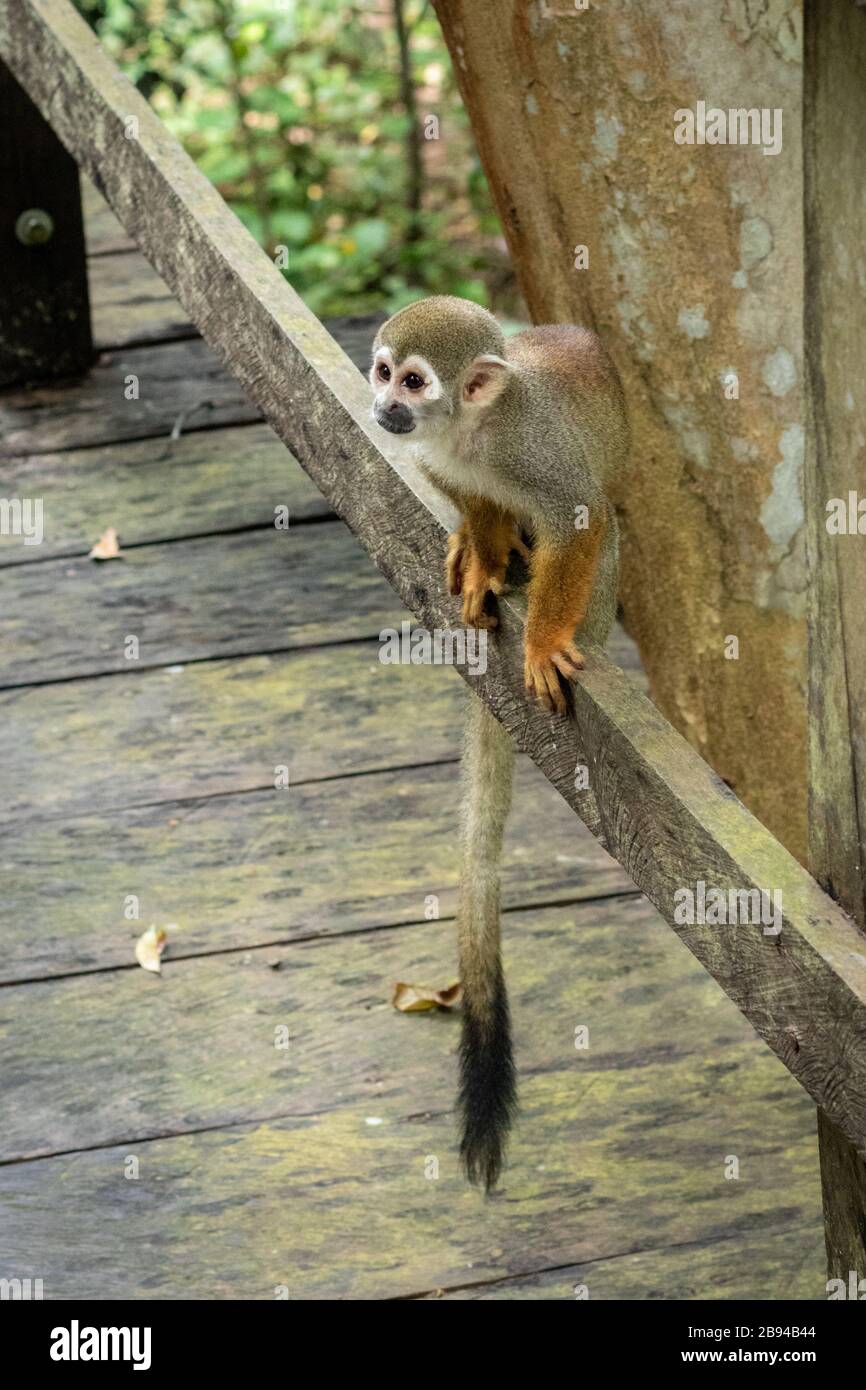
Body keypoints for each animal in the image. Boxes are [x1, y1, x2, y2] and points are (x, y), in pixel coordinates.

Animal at [369, 298, 625, 1189]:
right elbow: (458, 489)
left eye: (415, 382)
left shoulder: (529, 448)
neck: (468, 432)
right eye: (383, 371)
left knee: (603, 542)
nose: (383, 407)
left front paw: (542, 640)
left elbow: (581, 518)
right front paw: (481, 551)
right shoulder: (442, 455)